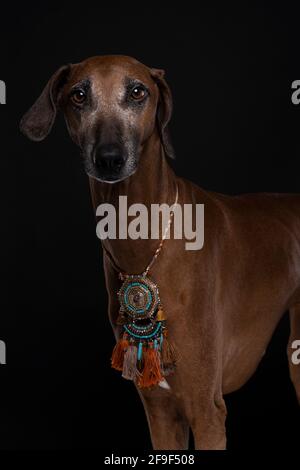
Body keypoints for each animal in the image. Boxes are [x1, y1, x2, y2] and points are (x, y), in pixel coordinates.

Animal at [19, 56, 300, 452]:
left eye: (138, 91)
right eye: (79, 95)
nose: (109, 158)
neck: (143, 242)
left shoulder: (206, 410)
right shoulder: (162, 411)